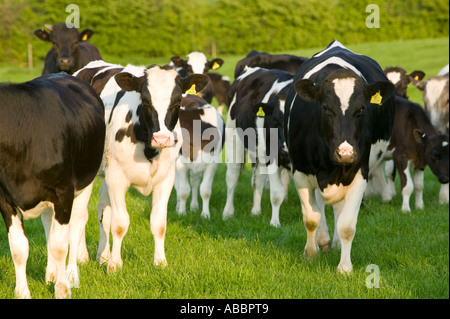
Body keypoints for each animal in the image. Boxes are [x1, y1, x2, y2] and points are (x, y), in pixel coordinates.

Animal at [0, 74, 105, 298]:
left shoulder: (64, 193)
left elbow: (60, 245)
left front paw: (63, 289)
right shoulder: (4, 199)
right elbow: (18, 248)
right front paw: (22, 292)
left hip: (86, 182)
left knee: (75, 227)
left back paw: (72, 275)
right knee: (49, 225)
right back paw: (51, 273)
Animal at [74, 60, 209, 272]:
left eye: (177, 100)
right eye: (145, 101)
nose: (162, 138)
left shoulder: (166, 178)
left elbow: (158, 223)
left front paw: (160, 262)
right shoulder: (117, 177)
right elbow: (120, 222)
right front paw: (115, 265)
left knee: (103, 211)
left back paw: (102, 256)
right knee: (81, 214)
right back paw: (82, 257)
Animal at [223, 67, 294, 228]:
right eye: (275, 120)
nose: (285, 150)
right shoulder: (272, 155)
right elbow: (276, 193)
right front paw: (275, 223)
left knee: (258, 179)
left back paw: (255, 211)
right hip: (234, 137)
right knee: (232, 177)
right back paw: (228, 213)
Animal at [284, 40, 394, 274]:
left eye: (361, 109)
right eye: (325, 108)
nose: (345, 153)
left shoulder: (360, 172)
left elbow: (347, 225)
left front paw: (344, 267)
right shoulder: (300, 172)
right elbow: (311, 218)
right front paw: (310, 254)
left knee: (338, 208)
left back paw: (333, 242)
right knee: (319, 205)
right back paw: (323, 240)